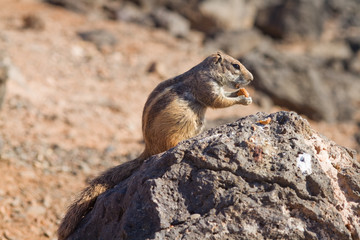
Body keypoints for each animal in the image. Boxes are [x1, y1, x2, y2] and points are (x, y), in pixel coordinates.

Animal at [57, 51, 253, 240]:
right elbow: (218, 101)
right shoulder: (205, 86)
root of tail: (148, 149)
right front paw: (242, 100)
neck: (207, 71)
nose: (251, 79)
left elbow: (225, 97)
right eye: (236, 65)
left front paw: (243, 95)